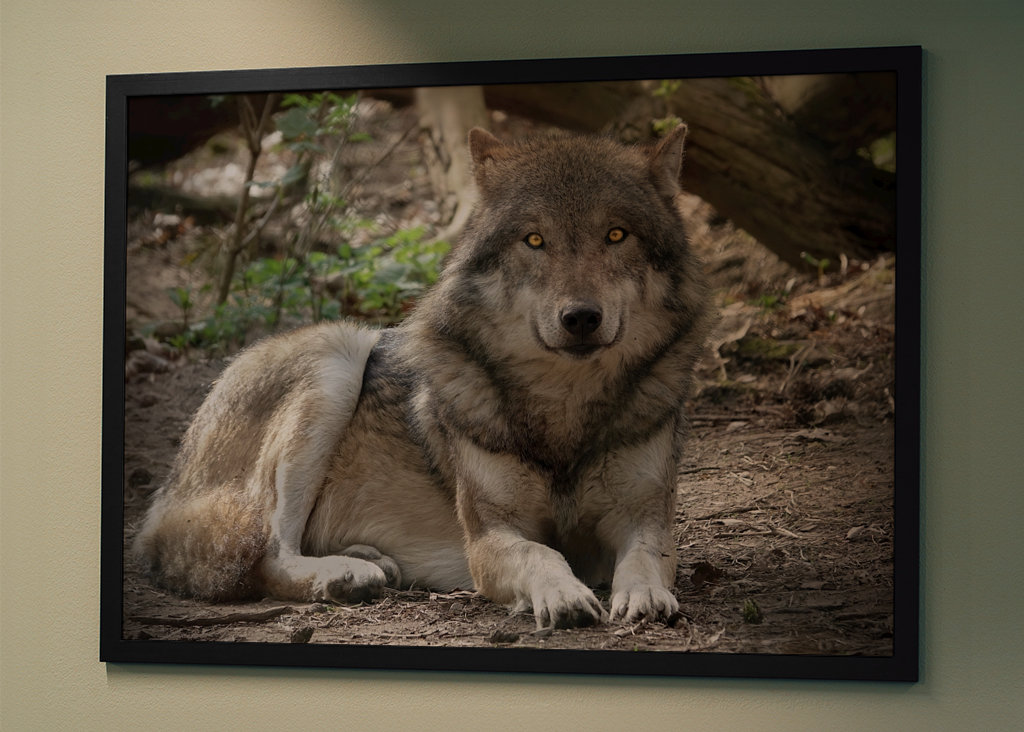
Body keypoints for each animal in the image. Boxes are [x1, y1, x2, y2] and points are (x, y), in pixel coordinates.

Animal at [133, 124, 711, 629]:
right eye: (534, 240)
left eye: (616, 235)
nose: (581, 318)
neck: (564, 406)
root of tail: (167, 489)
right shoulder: (488, 538)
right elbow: (540, 553)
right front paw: (564, 595)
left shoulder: (644, 517)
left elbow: (646, 556)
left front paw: (645, 595)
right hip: (337, 356)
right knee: (268, 556)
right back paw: (345, 576)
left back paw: (369, 562)